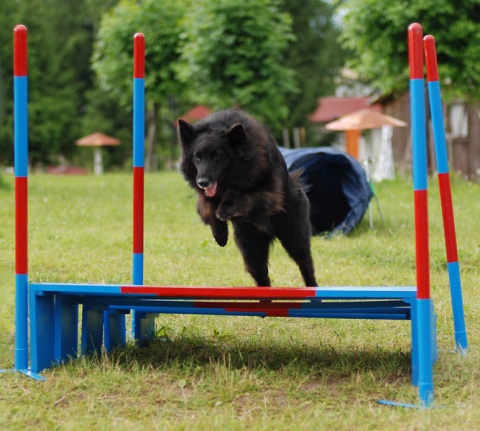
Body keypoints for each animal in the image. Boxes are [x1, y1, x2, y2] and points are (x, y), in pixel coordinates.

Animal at [178, 109, 316, 288]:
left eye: (217, 156)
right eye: (197, 157)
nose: (202, 182)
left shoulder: (269, 192)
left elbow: (240, 192)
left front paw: (226, 208)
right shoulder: (205, 196)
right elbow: (209, 206)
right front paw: (220, 234)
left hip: (294, 238)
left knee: (306, 265)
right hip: (251, 249)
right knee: (262, 277)